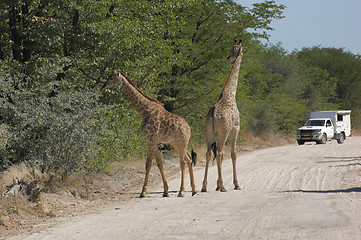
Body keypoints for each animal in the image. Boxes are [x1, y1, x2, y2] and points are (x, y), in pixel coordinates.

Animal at [101, 68, 197, 198]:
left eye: (111, 78)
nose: (103, 86)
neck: (144, 112)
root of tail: (189, 129)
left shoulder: (152, 139)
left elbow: (148, 164)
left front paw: (143, 191)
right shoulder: (151, 140)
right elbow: (159, 163)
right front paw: (165, 191)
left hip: (182, 142)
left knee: (182, 162)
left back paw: (181, 191)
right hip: (177, 143)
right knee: (189, 160)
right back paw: (193, 189)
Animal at [200, 39, 245, 193]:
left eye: (233, 49)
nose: (228, 58)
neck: (231, 93)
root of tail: (213, 113)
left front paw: (216, 185)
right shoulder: (236, 127)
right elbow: (233, 153)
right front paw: (236, 184)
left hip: (208, 130)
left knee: (208, 153)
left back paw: (204, 186)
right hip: (223, 131)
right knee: (219, 153)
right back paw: (222, 186)